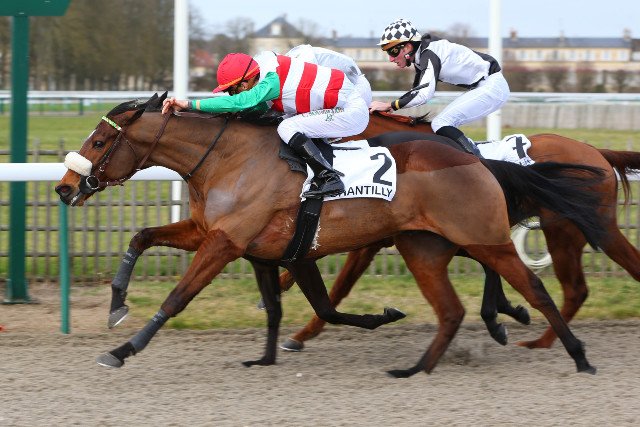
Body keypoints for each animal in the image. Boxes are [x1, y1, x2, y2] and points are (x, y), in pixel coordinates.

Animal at [279, 111, 640, 352]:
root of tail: (597, 152)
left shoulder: (378, 239)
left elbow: (339, 285)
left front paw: (299, 335)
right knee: (580, 288)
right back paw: (545, 339)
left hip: (575, 230)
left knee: (586, 284)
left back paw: (544, 341)